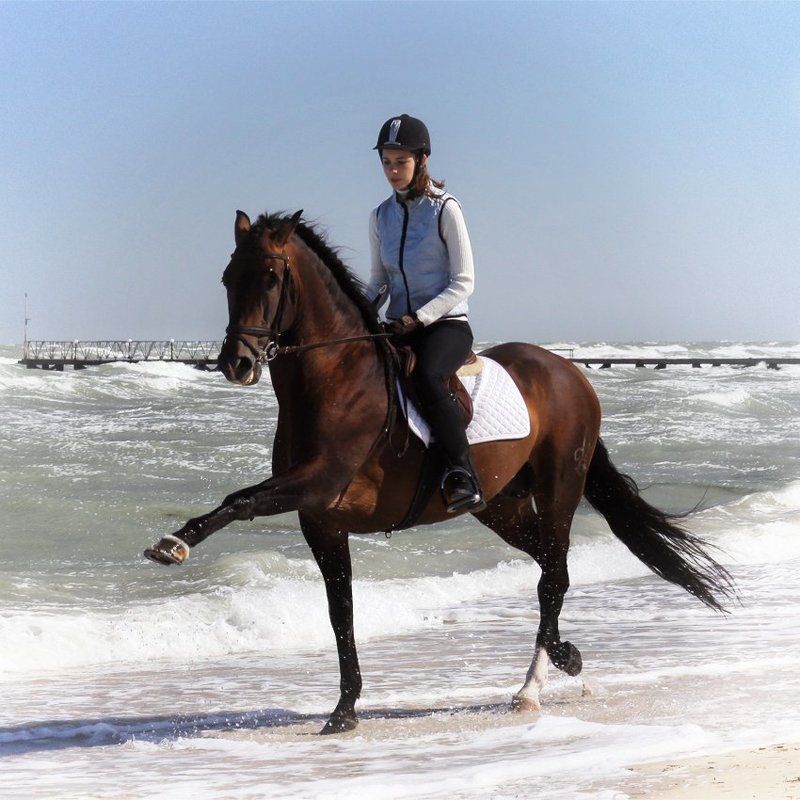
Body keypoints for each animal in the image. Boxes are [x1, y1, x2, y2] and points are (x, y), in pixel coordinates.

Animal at [145, 209, 734, 734]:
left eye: (269, 277)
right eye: (228, 278)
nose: (236, 363)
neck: (336, 381)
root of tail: (570, 372)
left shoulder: (317, 483)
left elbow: (239, 500)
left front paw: (174, 543)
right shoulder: (322, 522)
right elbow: (341, 613)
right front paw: (345, 710)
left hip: (559, 488)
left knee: (554, 578)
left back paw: (532, 687)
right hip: (501, 506)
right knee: (547, 564)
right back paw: (567, 659)